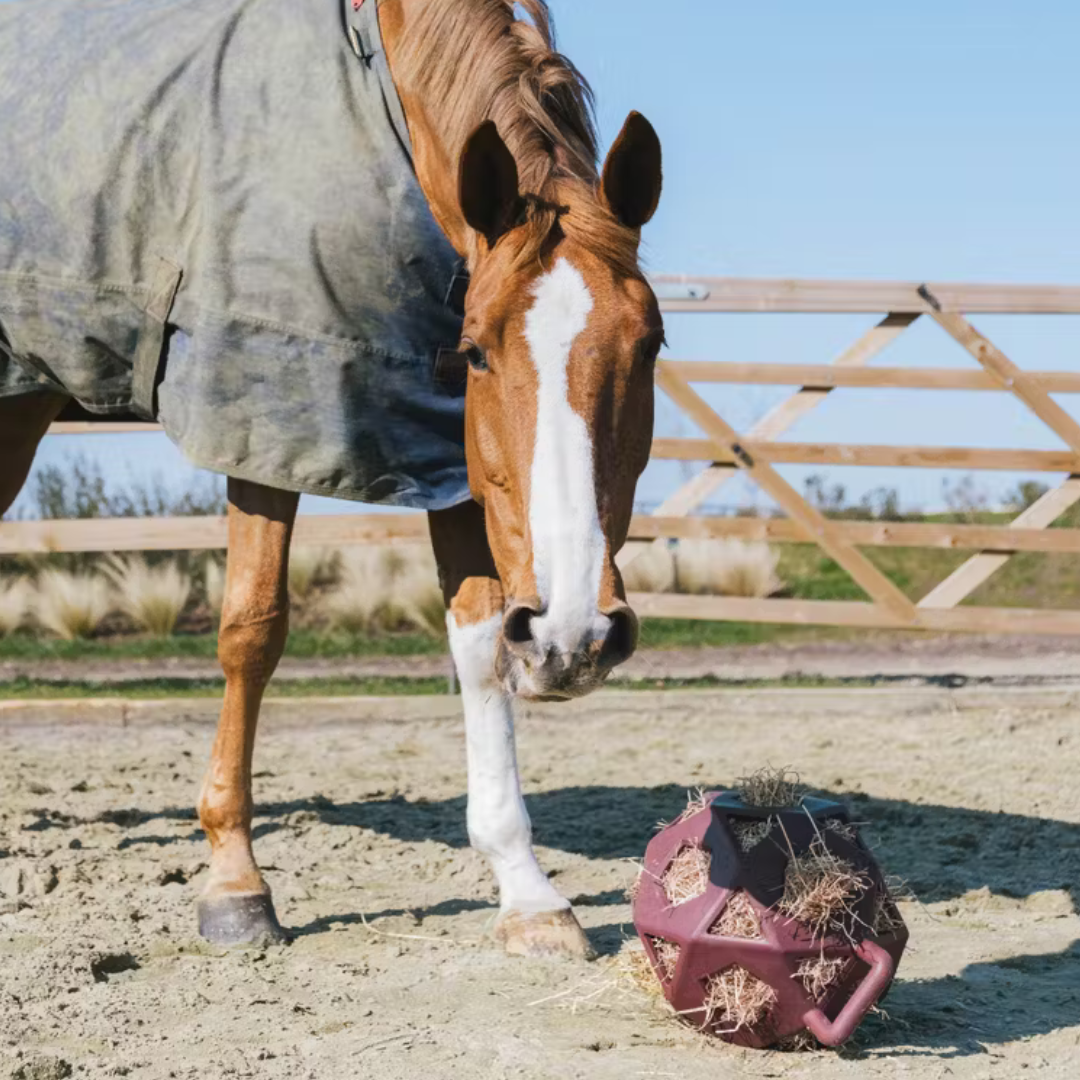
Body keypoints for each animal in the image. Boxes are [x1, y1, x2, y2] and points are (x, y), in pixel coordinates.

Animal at [0, 0, 663, 960]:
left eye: (650, 346)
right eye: (479, 351)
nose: (575, 638)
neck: (381, 98)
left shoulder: (441, 437)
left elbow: (479, 640)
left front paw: (527, 891)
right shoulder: (261, 401)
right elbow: (251, 630)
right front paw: (235, 883)